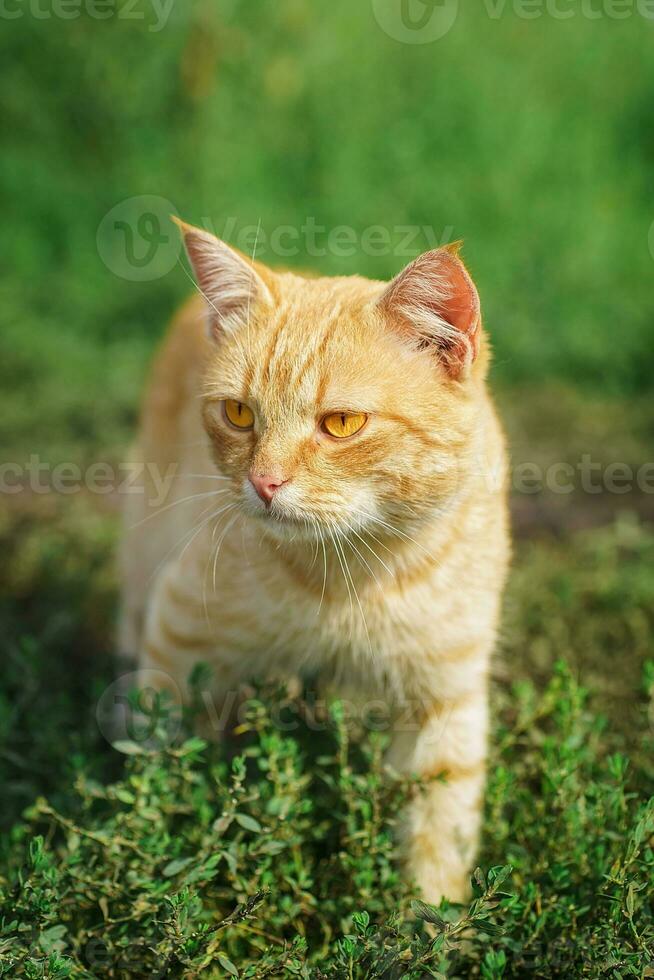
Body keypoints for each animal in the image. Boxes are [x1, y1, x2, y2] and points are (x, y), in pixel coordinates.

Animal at [121, 222, 512, 904]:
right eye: (239, 414)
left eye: (343, 423)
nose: (263, 482)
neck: (351, 575)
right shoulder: (178, 632)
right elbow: (164, 760)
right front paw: (162, 851)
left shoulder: (444, 698)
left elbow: (440, 830)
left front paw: (432, 919)